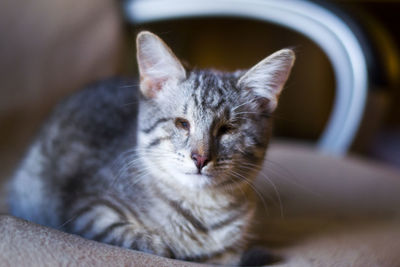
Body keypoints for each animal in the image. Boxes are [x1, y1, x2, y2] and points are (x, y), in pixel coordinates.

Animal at [6, 31, 294, 266]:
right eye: (182, 123)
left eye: (227, 129)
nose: (200, 158)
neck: (202, 211)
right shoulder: (86, 209)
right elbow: (147, 243)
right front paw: (166, 246)